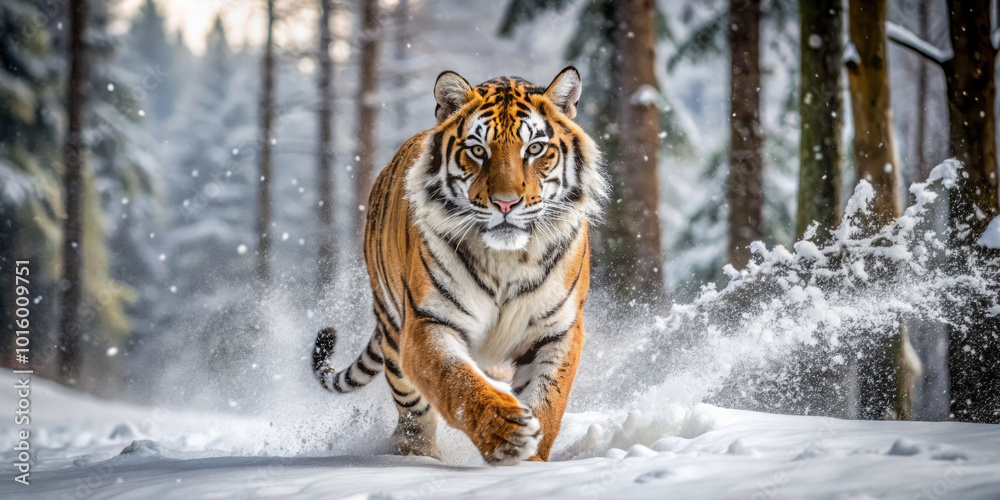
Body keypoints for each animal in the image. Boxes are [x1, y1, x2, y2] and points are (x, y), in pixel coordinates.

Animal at [312, 66, 607, 465]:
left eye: (534, 148)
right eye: (477, 150)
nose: (505, 203)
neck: (507, 258)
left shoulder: (556, 329)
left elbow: (547, 400)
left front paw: (530, 463)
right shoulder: (429, 321)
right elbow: (457, 383)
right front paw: (505, 434)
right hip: (393, 329)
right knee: (412, 410)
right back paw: (415, 453)